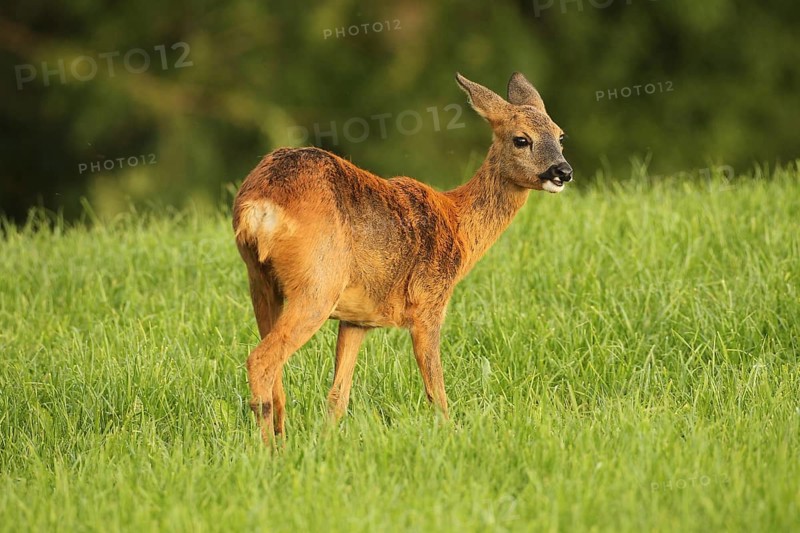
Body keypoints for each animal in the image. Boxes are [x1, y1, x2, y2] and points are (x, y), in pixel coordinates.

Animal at [232, 72, 573, 443]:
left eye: (560, 135)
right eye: (521, 139)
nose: (563, 171)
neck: (457, 226)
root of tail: (259, 205)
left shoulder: (358, 319)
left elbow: (338, 396)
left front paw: (327, 442)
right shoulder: (429, 304)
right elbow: (436, 393)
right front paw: (450, 437)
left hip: (260, 281)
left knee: (275, 369)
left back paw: (282, 440)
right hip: (317, 285)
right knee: (261, 360)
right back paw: (268, 449)